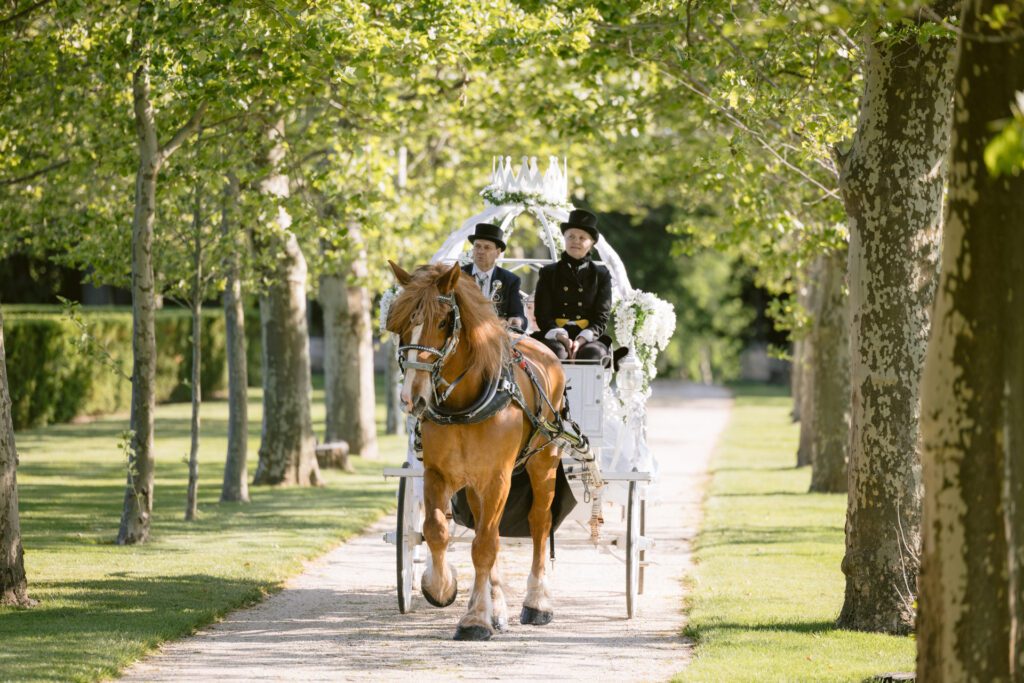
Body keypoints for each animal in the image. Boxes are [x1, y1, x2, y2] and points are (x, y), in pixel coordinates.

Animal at [385, 260, 565, 643]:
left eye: (442, 321)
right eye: (402, 323)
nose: (412, 397)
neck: (464, 404)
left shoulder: (498, 478)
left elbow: (483, 545)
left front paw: (474, 621)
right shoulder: (437, 473)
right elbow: (436, 529)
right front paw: (441, 587)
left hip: (543, 463)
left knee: (539, 523)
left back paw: (537, 601)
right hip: (475, 483)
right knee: (489, 529)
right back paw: (496, 605)